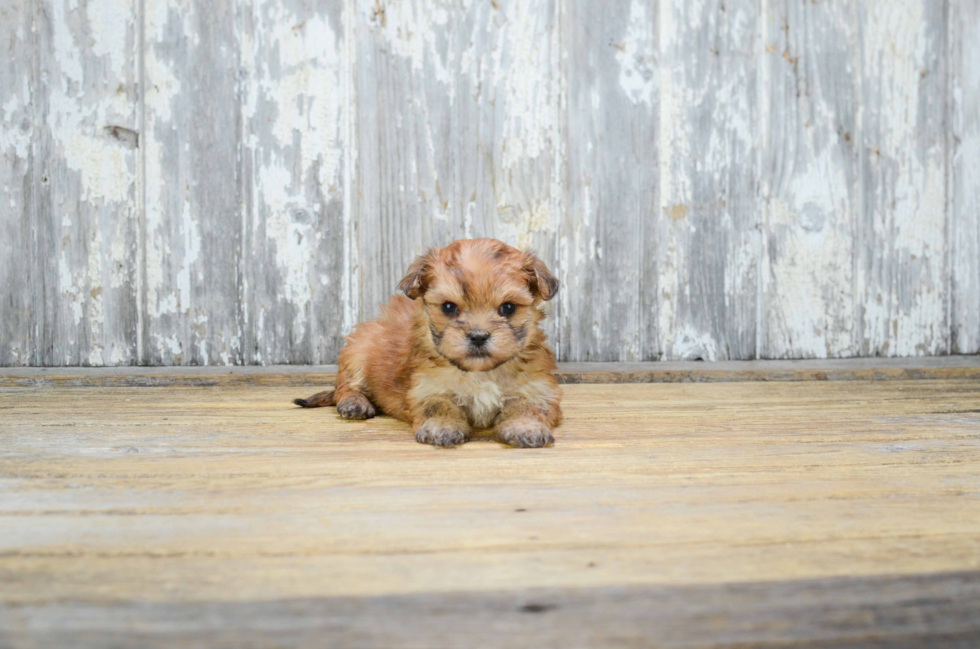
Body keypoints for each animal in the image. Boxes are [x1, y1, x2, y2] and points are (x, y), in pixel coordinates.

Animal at [290, 238, 564, 446]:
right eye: (449, 307)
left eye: (508, 308)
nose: (478, 335)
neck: (480, 373)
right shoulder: (427, 388)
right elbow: (439, 405)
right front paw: (441, 427)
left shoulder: (536, 388)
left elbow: (529, 407)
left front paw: (526, 428)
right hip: (358, 349)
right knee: (345, 387)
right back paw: (355, 403)